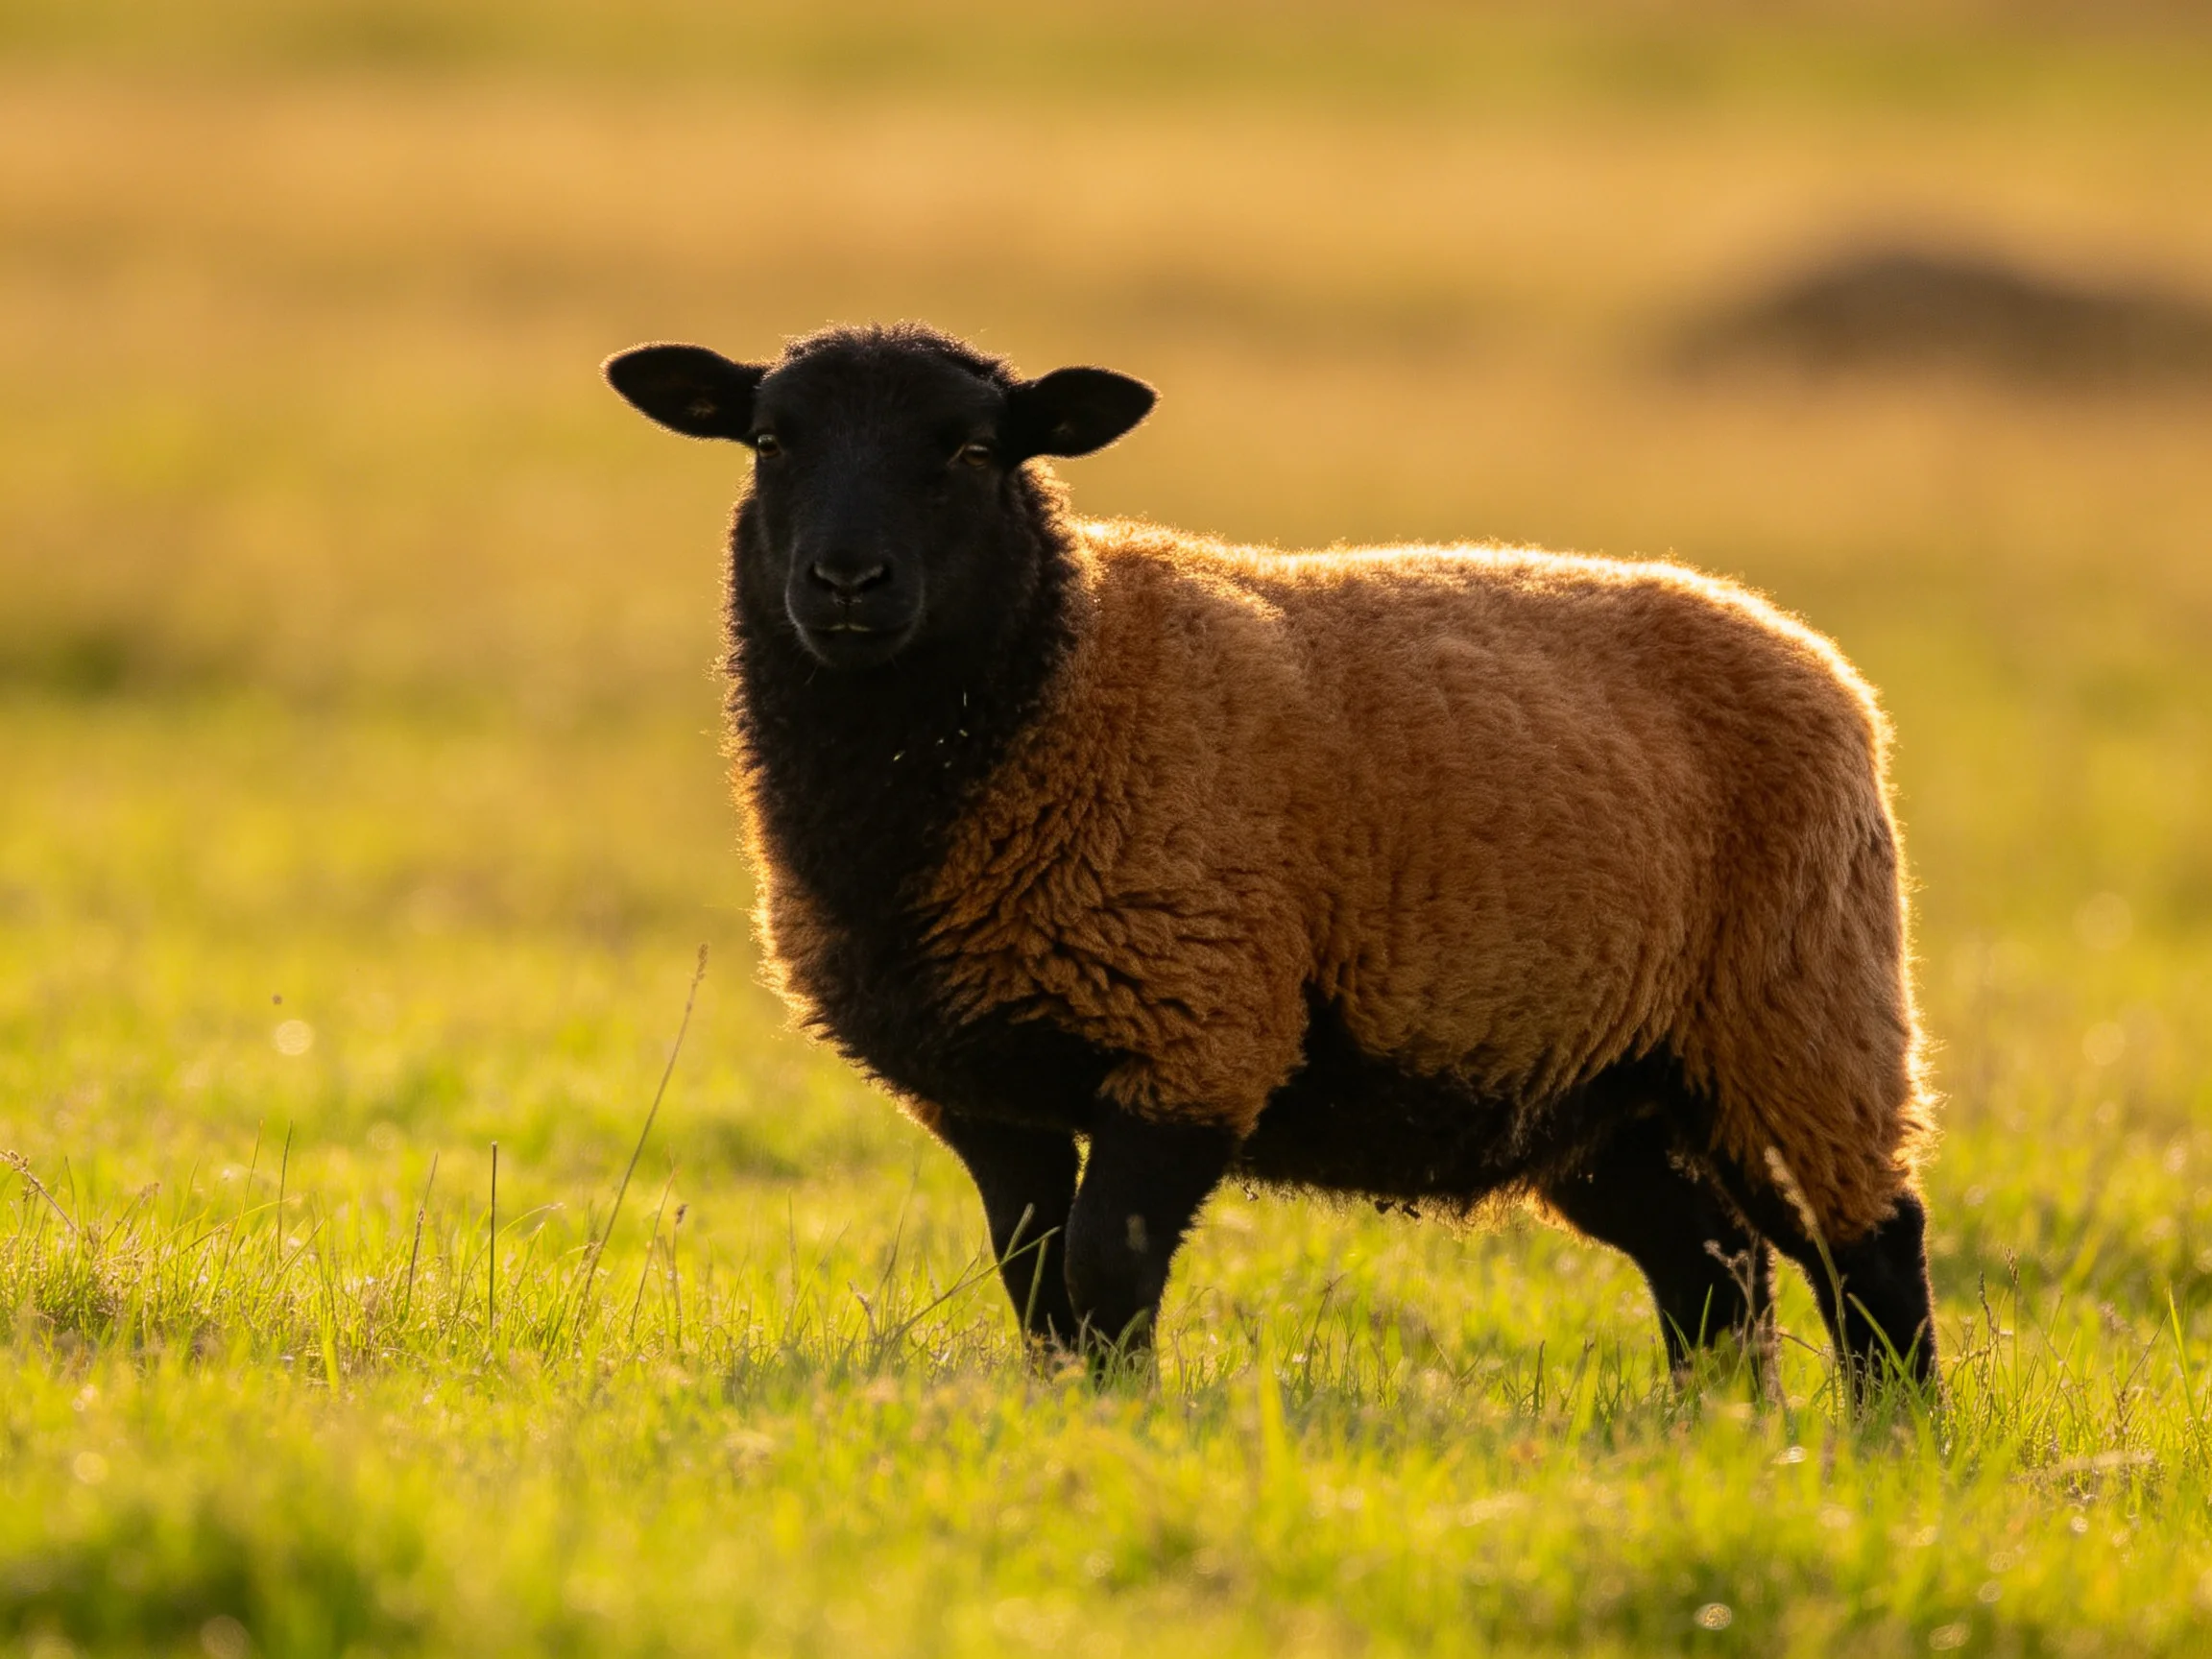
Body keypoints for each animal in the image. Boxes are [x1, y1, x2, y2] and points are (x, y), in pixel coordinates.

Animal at [604, 321, 1938, 1390]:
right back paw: (1722, 1435)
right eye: (768, 441)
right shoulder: (985, 1084)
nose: (845, 581)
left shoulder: (1195, 1030)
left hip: (1799, 1012)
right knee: (1715, 1269)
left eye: (975, 452)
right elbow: (1035, 1279)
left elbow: (1103, 1268)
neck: (1061, 684)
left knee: (1871, 1247)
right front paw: (1067, 1410)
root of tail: (1811, 656)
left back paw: (1891, 1444)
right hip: (1603, 1084)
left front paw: (1117, 1419)